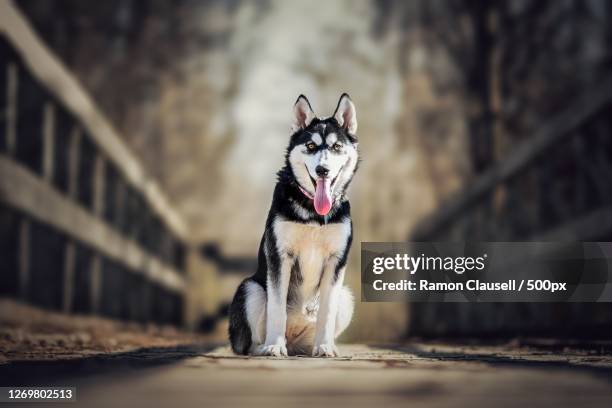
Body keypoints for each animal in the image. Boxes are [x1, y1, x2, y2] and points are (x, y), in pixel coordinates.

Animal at [231, 94, 360, 356]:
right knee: (251, 340)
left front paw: (325, 346)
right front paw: (274, 346)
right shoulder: (280, 256)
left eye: (336, 147)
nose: (323, 170)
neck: (313, 213)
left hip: (346, 297)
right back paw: (266, 346)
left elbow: (326, 313)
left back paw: (318, 346)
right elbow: (277, 307)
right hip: (250, 289)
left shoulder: (336, 260)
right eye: (310, 146)